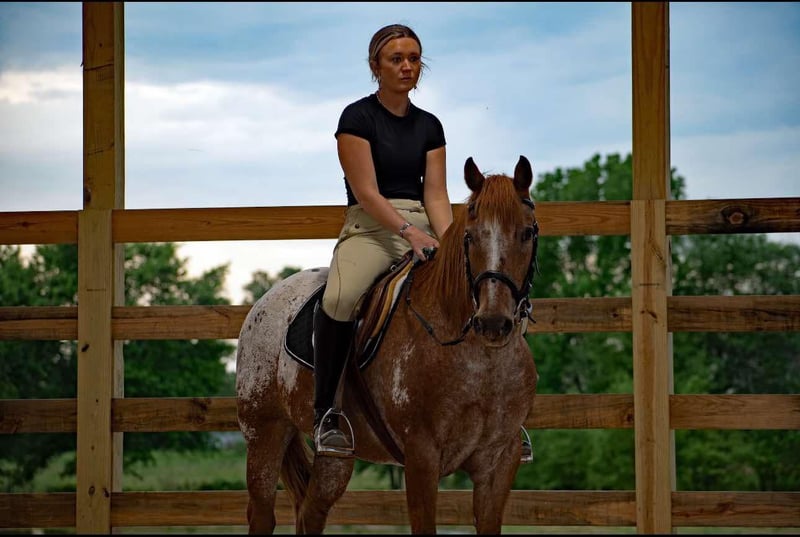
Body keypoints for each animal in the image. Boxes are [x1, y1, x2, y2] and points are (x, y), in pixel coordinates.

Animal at [236, 155, 540, 534]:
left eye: (527, 233)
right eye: (470, 236)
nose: (493, 323)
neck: (479, 360)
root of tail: (267, 298)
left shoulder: (499, 461)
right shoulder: (422, 456)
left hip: (335, 457)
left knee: (311, 511)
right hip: (264, 431)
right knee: (262, 513)